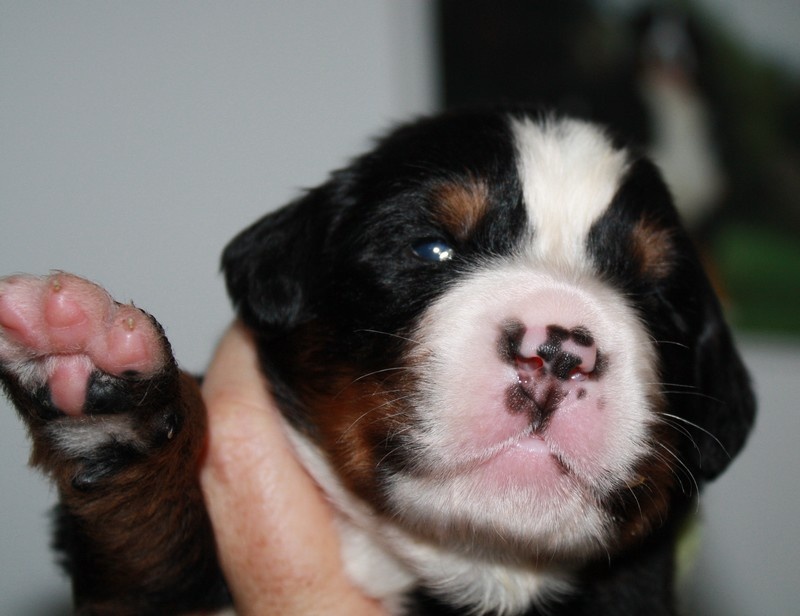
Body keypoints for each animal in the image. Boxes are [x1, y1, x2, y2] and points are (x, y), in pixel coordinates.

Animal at [0, 108, 755, 615]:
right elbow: (154, 551)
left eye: (656, 299)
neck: (486, 575)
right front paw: (113, 401)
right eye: (430, 249)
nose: (559, 350)